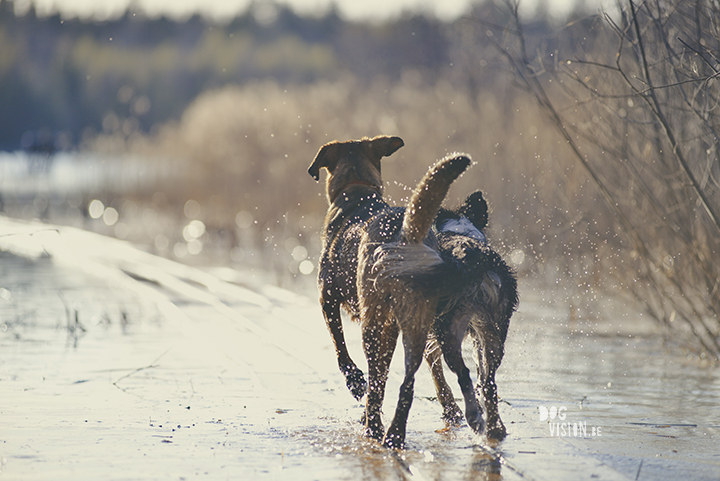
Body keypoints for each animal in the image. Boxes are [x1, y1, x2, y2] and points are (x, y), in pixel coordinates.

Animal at [310, 134, 472, 446]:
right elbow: (383, 375)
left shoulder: (327, 297)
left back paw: (374, 427)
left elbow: (340, 346)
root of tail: (408, 235)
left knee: (377, 373)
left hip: (373, 321)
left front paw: (355, 382)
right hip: (417, 321)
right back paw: (394, 432)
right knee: (409, 379)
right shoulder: (393, 325)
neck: (357, 192)